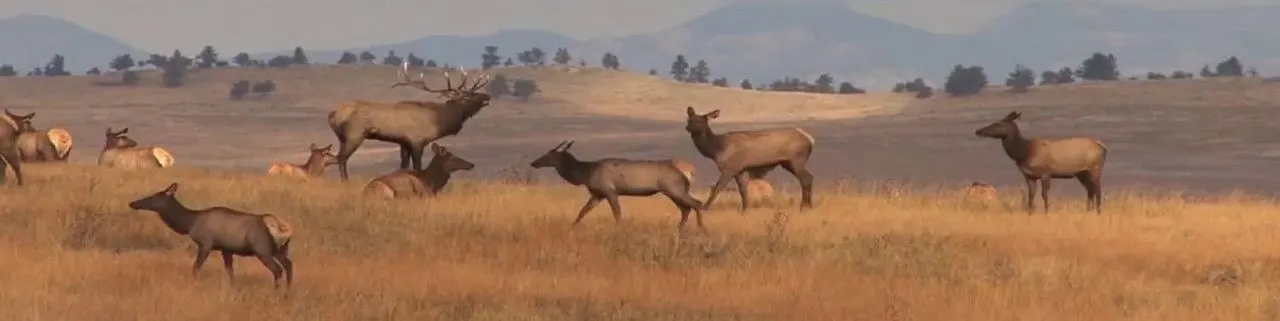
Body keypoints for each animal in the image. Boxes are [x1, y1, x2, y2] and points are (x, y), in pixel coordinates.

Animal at [126, 182, 293, 289]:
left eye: (153, 196)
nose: (132, 203)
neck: (188, 223)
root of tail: (280, 227)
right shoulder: (226, 249)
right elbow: (230, 272)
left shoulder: (206, 243)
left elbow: (195, 268)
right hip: (279, 249)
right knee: (289, 265)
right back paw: (288, 292)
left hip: (262, 249)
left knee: (277, 270)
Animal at [327, 62, 491, 180]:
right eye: (468, 96)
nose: (487, 96)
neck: (439, 120)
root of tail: (334, 115)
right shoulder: (417, 140)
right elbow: (417, 166)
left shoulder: (403, 142)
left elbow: (403, 166)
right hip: (354, 135)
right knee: (341, 158)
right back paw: (345, 182)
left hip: (343, 138)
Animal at [529, 140, 711, 227]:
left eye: (549, 155)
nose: (533, 162)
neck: (585, 173)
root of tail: (690, 171)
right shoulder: (598, 194)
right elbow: (582, 211)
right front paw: (571, 226)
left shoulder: (610, 191)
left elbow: (617, 213)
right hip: (672, 192)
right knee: (686, 209)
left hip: (675, 189)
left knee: (697, 204)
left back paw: (701, 228)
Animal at [686, 105, 814, 214]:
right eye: (689, 120)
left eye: (700, 121)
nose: (687, 128)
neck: (716, 150)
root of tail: (810, 139)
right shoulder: (740, 171)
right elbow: (743, 191)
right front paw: (745, 210)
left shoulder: (730, 167)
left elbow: (717, 188)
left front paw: (704, 208)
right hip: (787, 163)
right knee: (808, 178)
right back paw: (809, 206)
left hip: (797, 160)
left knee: (806, 178)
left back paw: (804, 207)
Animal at [972, 110, 1105, 213]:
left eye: (998, 123)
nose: (978, 131)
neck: (1023, 153)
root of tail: (1103, 147)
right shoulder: (1029, 176)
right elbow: (1031, 196)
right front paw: (1030, 212)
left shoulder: (1045, 173)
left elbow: (1044, 194)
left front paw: (1046, 211)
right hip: (1081, 173)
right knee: (1090, 190)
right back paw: (1089, 210)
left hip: (1095, 168)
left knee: (1097, 189)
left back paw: (1098, 211)